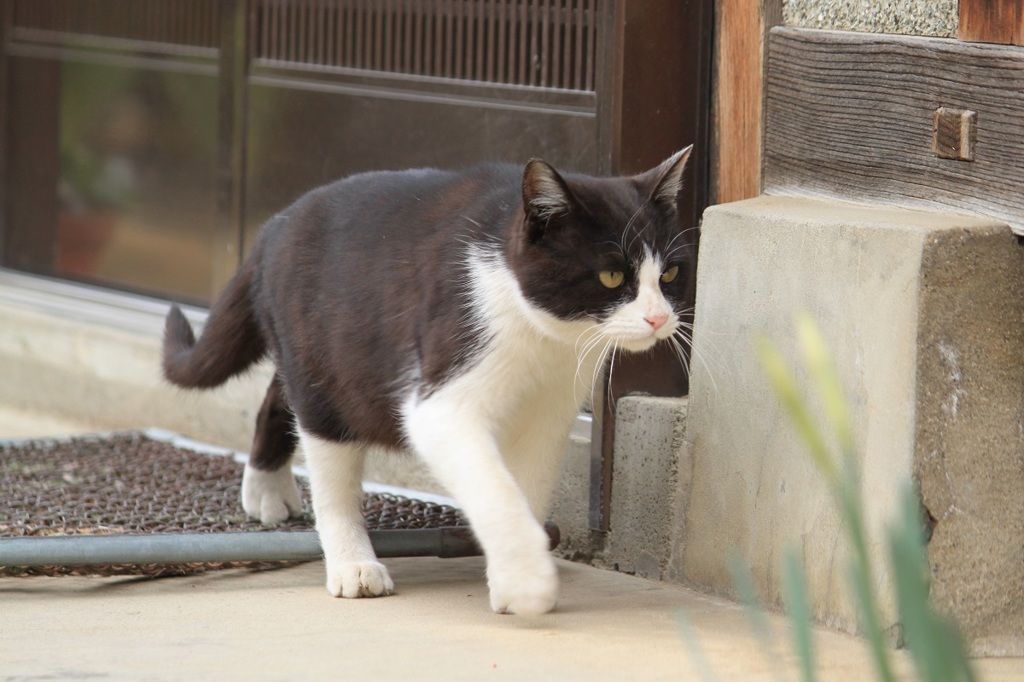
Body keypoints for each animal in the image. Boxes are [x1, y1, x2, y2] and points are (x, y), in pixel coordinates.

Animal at [161, 146, 696, 614]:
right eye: (611, 277)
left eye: (669, 274)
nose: (658, 319)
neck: (545, 338)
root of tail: (274, 226)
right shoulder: (443, 402)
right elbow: (494, 488)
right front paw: (528, 584)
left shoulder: (549, 412)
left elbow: (527, 486)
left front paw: (511, 577)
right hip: (327, 375)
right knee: (328, 460)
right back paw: (353, 565)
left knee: (280, 395)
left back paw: (266, 488)